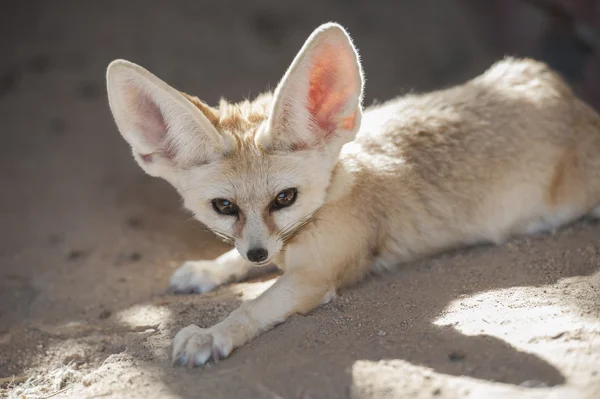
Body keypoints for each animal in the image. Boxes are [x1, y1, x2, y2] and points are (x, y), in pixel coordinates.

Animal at [105, 22, 600, 368]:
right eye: (224, 207)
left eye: (285, 198)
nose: (260, 255)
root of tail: (570, 99)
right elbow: (234, 259)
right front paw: (209, 269)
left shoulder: (313, 278)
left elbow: (253, 307)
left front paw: (212, 333)